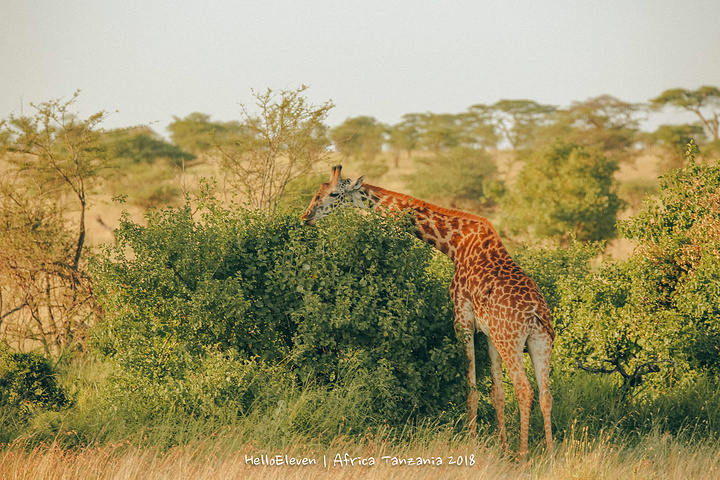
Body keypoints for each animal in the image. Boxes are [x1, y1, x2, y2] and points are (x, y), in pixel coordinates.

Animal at [300, 166, 556, 462]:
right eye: (317, 191)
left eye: (333, 193)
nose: (306, 216)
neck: (454, 244)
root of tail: (536, 312)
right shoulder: (489, 333)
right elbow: (496, 393)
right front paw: (502, 450)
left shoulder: (462, 318)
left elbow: (471, 389)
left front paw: (472, 445)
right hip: (539, 342)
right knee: (545, 394)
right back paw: (551, 456)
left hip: (512, 340)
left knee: (525, 390)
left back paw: (524, 458)